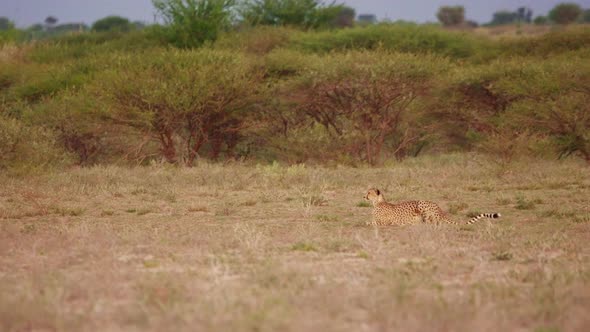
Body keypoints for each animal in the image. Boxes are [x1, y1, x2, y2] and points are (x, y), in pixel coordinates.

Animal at [364, 188, 502, 227]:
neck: (377, 202)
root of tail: (440, 209)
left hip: (421, 203)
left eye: (369, 192)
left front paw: (366, 222)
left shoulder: (385, 221)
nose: (364, 196)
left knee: (433, 223)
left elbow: (370, 222)